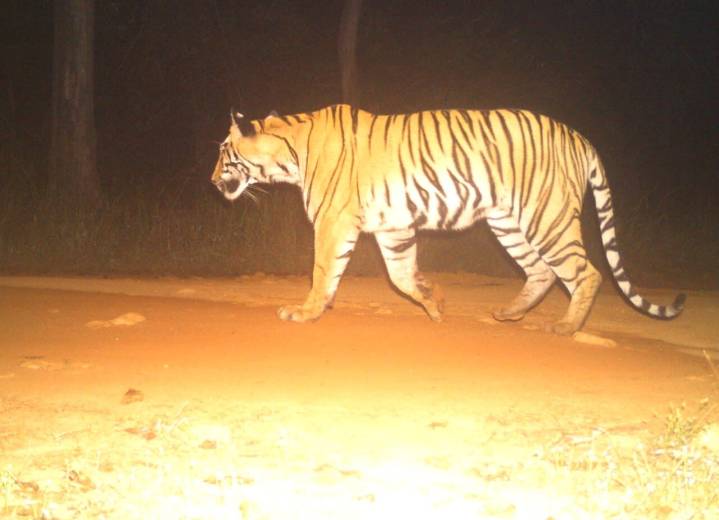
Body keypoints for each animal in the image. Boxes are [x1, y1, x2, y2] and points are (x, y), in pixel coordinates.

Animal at [211, 104, 685, 335]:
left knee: (585, 272)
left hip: (545, 216)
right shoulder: (394, 227)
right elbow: (402, 276)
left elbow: (323, 273)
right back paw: (509, 314)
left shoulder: (333, 221)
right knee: (541, 271)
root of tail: (581, 138)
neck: (289, 151)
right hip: (508, 223)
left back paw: (565, 327)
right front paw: (435, 303)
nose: (212, 180)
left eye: (223, 152)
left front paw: (304, 313)